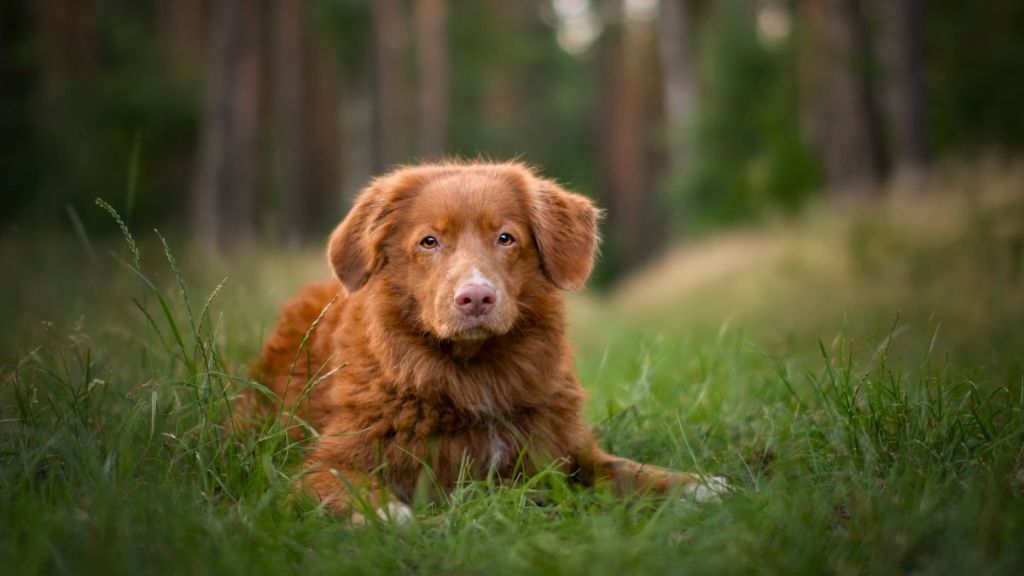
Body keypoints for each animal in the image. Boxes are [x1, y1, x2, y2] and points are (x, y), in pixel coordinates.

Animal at [243, 159, 729, 520]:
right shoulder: (322, 462)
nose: (476, 296)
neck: (476, 373)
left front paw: (700, 484)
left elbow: (635, 471)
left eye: (505, 237)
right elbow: (344, 483)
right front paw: (385, 512)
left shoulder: (567, 451)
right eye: (429, 241)